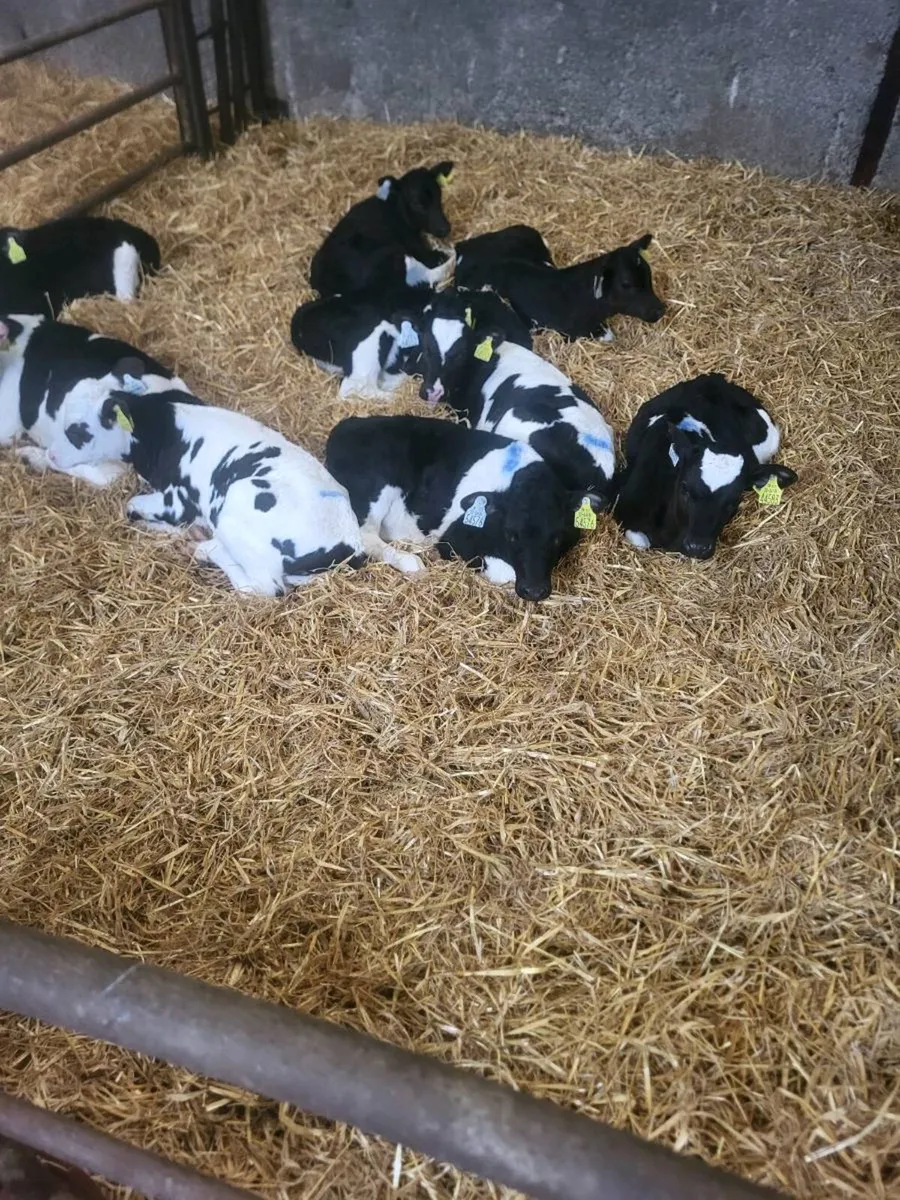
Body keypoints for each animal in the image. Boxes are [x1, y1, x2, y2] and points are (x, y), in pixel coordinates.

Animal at [42, 387, 369, 595]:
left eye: (77, 431)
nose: (51, 455)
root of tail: (348, 543)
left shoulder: (176, 501)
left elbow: (131, 506)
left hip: (234, 511)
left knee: (264, 587)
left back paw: (206, 548)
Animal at [290, 284, 532, 399]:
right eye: (426, 347)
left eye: (462, 354)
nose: (433, 392)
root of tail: (300, 316)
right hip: (370, 335)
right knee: (355, 387)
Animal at [325, 414, 605, 601]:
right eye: (511, 534)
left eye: (557, 536)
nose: (534, 591)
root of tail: (348, 423)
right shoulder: (453, 541)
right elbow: (505, 572)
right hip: (379, 482)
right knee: (365, 536)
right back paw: (411, 562)